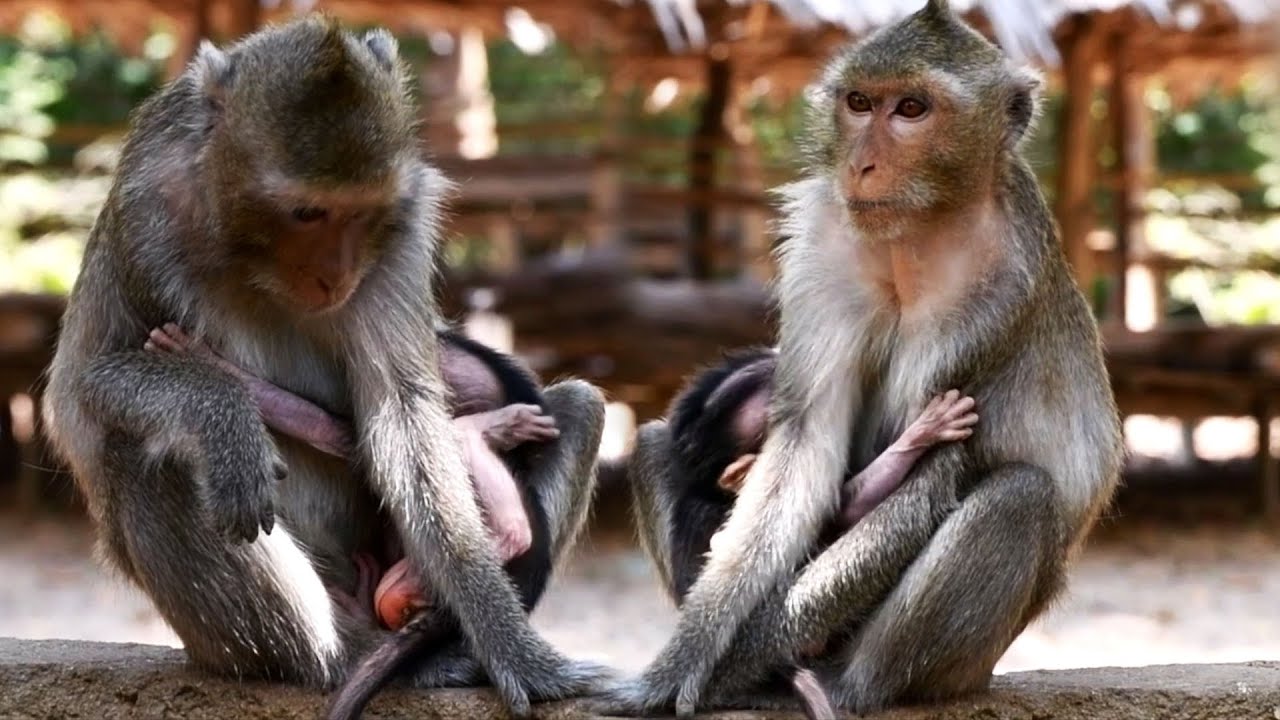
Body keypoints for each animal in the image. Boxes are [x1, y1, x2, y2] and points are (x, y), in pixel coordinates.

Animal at [40, 16, 609, 718]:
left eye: (360, 212)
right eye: (307, 213)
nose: (335, 274)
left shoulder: (403, 225)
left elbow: (400, 420)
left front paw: (513, 647)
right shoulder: (144, 213)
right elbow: (84, 385)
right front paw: (223, 412)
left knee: (579, 404)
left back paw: (434, 650)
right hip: (236, 633)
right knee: (152, 452)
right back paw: (339, 656)